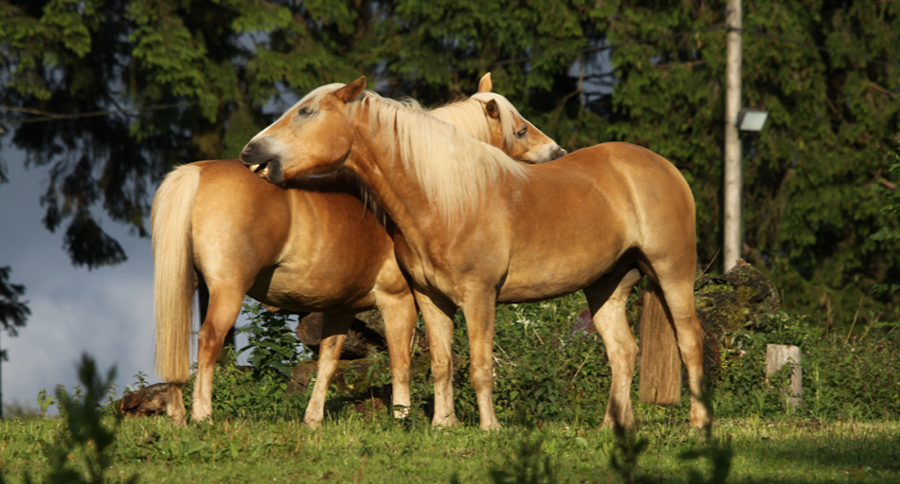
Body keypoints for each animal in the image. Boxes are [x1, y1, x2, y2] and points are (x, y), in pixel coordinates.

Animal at [153, 73, 564, 426]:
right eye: (520, 129)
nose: (557, 151)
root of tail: (197, 171)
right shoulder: (399, 300)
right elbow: (400, 361)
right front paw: (402, 418)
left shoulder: (340, 308)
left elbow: (328, 362)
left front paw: (314, 421)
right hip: (228, 289)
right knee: (208, 341)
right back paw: (202, 416)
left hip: (188, 286)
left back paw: (177, 416)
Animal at [239, 79, 712, 432]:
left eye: (306, 112)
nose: (250, 152)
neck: (445, 199)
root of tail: (660, 166)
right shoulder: (431, 299)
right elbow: (441, 364)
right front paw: (442, 425)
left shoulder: (479, 296)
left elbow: (480, 366)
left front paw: (489, 428)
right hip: (607, 286)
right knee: (623, 351)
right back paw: (612, 427)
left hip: (672, 273)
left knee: (690, 341)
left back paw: (698, 424)